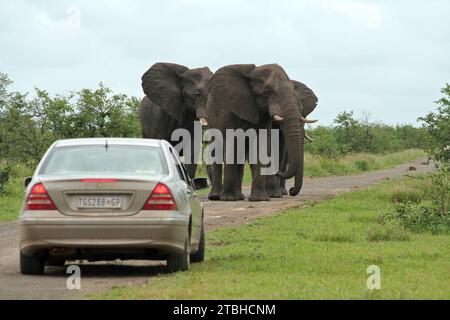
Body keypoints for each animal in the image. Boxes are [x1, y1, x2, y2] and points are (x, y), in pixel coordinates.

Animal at [207, 63, 316, 201]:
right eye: (267, 91)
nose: (291, 190)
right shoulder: (230, 108)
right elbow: (233, 142)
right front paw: (228, 199)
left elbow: (262, 143)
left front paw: (261, 199)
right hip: (211, 119)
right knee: (217, 149)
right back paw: (217, 196)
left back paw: (240, 196)